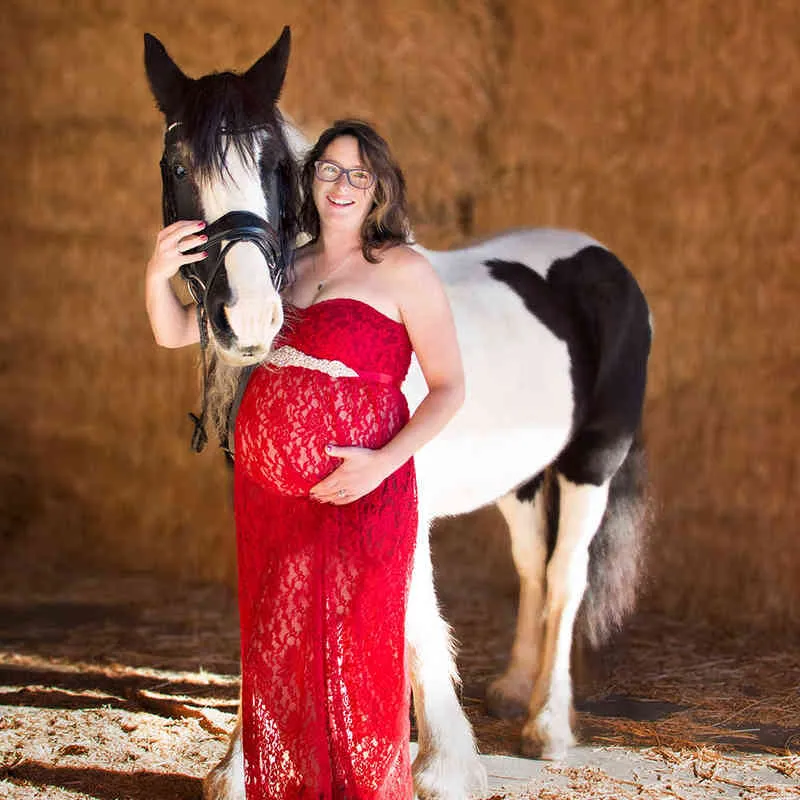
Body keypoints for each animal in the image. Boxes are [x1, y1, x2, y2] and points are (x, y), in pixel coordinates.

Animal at [144, 26, 652, 800]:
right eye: (178, 166)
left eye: (275, 165)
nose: (249, 318)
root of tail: (601, 259)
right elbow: (270, 611)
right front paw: (239, 767)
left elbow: (414, 620)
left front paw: (442, 765)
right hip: (521, 476)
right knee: (533, 564)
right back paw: (513, 689)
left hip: (593, 459)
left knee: (568, 575)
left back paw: (548, 726)